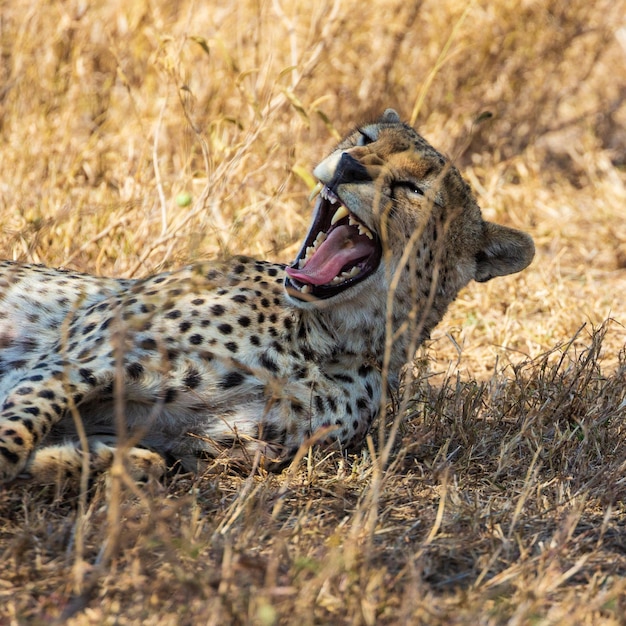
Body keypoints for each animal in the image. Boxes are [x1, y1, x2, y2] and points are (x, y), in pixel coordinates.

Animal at [0, 109, 532, 482]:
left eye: (413, 188)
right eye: (365, 139)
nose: (348, 166)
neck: (324, 340)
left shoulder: (212, 443)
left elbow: (148, 461)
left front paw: (61, 462)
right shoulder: (81, 358)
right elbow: (19, 430)